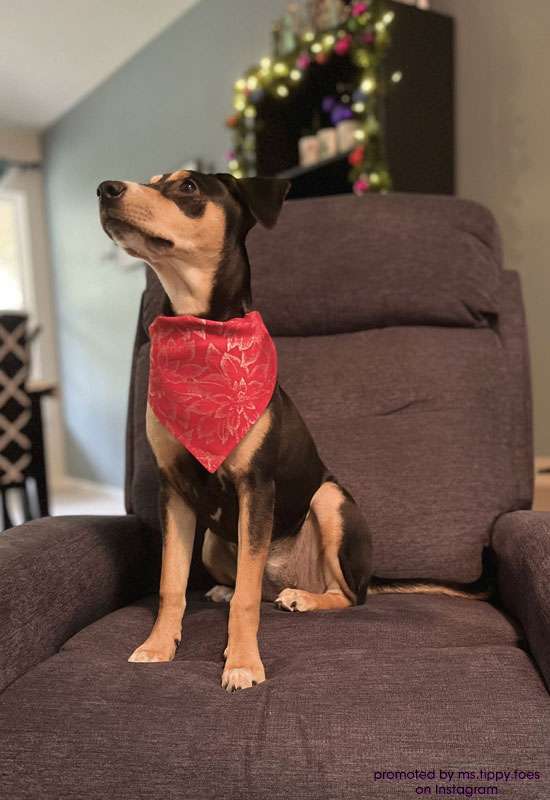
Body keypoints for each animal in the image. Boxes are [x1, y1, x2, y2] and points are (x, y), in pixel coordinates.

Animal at [98, 170, 484, 692]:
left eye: (187, 188)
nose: (105, 189)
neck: (204, 330)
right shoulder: (173, 490)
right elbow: (170, 584)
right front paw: (159, 645)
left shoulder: (257, 486)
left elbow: (245, 602)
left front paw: (242, 662)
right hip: (215, 540)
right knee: (254, 583)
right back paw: (228, 590)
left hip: (329, 501)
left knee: (344, 595)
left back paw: (304, 597)